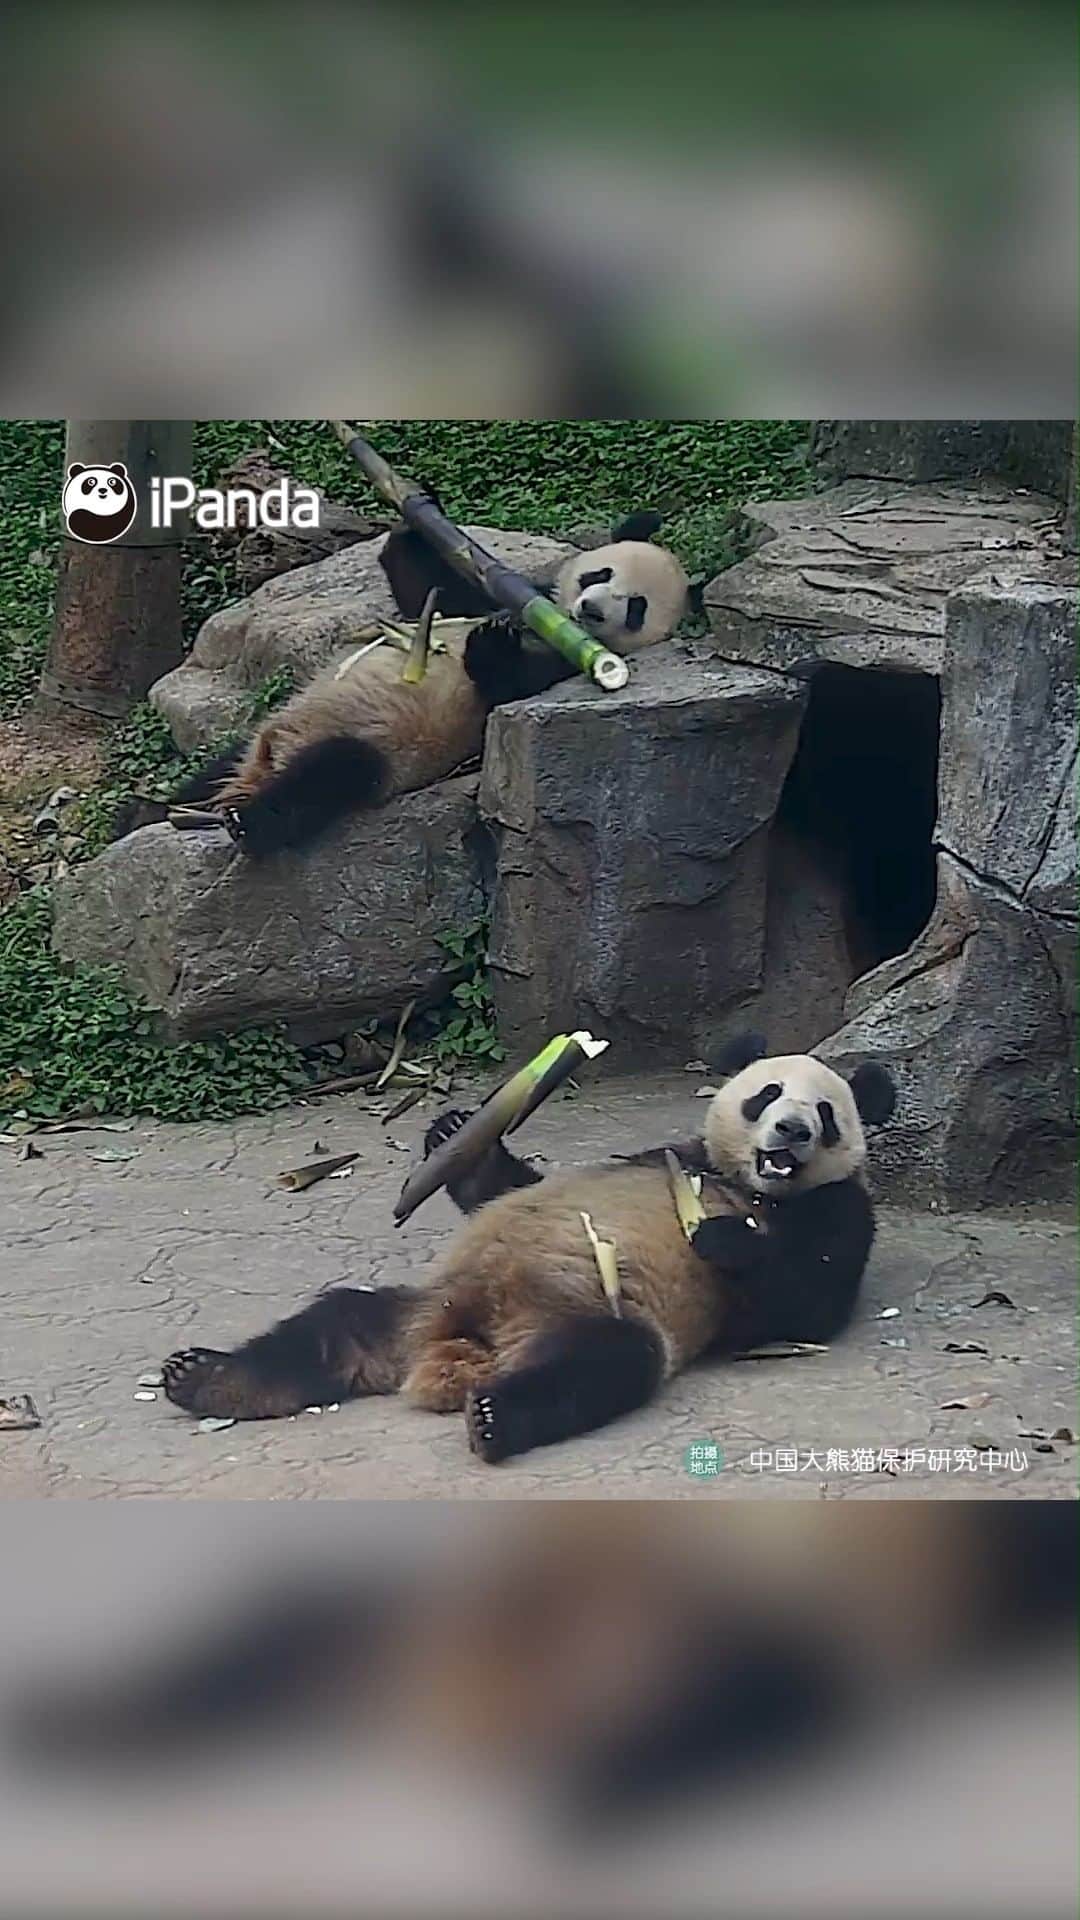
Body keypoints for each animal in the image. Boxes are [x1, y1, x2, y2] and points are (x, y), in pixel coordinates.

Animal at [125, 508, 693, 859]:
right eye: (601, 574)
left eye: (636, 608)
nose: (591, 609)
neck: (552, 625)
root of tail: (262, 768)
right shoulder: (496, 597)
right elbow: (427, 590)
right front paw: (419, 513)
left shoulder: (568, 665)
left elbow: (507, 688)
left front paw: (493, 648)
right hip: (258, 739)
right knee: (214, 768)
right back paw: (148, 814)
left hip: (378, 755)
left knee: (328, 775)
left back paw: (250, 823)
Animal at [159, 1034, 897, 1464]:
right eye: (767, 1094)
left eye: (825, 1113)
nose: (792, 1131)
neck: (742, 1182)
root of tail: (465, 1349)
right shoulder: (668, 1153)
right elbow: (510, 1186)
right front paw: (454, 1130)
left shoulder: (836, 1209)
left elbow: (806, 1302)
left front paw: (721, 1237)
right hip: (417, 1309)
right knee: (331, 1326)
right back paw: (204, 1376)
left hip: (586, 1316)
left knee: (602, 1364)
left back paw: (494, 1418)